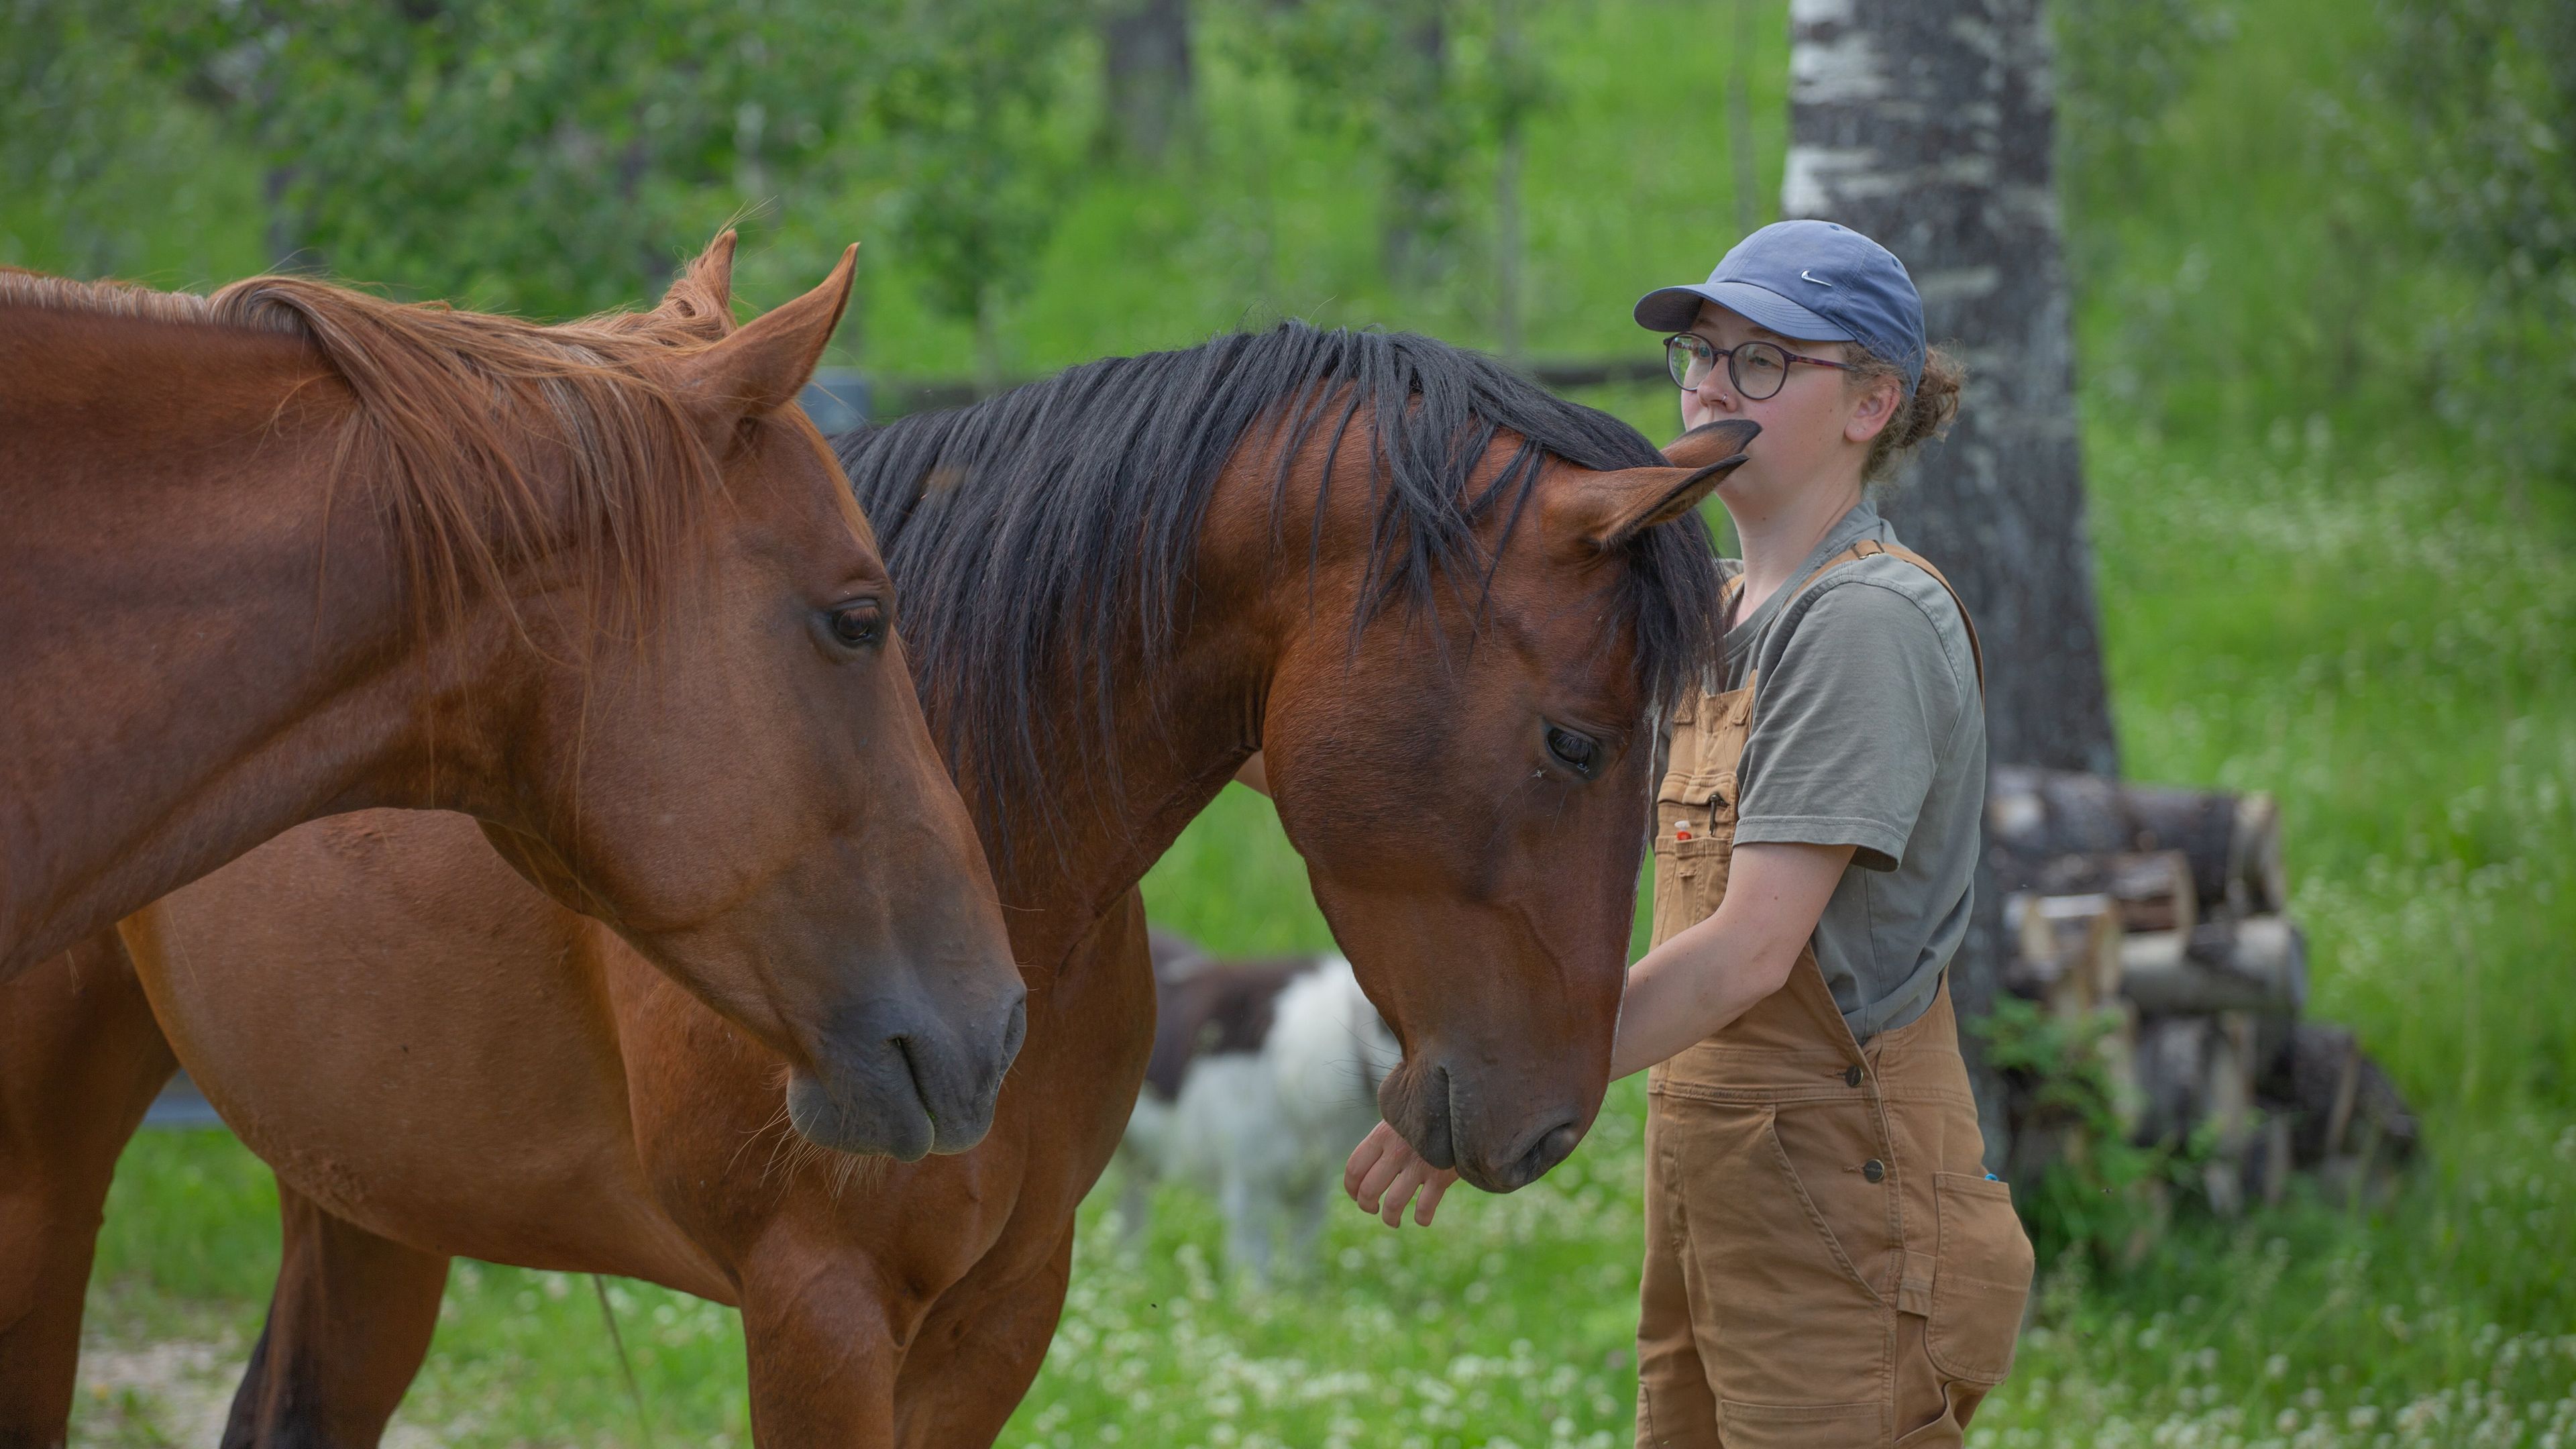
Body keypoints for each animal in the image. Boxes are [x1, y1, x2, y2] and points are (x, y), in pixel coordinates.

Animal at [0, 325, 1758, 1445]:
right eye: (1575, 739)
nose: (1549, 1121)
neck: (986, 826)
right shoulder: (817, 1313)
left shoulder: (1001, 1309)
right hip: (51, 1165)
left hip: (365, 1198)